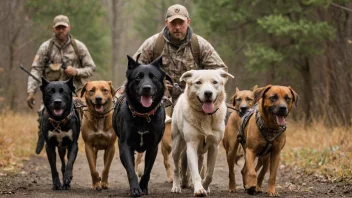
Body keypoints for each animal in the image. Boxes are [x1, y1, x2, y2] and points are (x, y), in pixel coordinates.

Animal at [113, 54, 172, 196]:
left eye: (153, 77)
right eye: (138, 77)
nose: (146, 88)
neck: (143, 115)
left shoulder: (153, 147)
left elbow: (147, 171)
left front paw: (143, 187)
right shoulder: (125, 146)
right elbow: (131, 170)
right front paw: (135, 188)